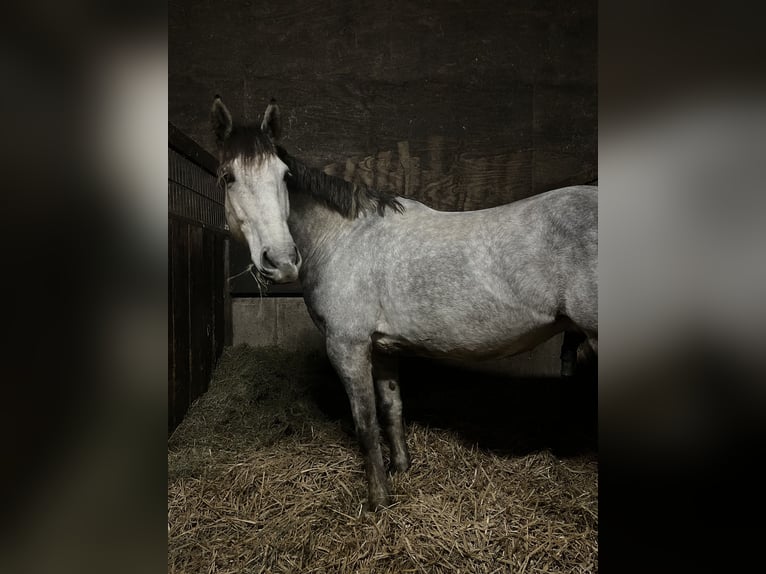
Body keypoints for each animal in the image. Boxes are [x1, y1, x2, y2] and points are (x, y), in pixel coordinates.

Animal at [210, 96, 598, 510]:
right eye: (228, 177)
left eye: (283, 176)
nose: (282, 261)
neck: (342, 237)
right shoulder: (381, 347)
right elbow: (391, 409)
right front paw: (401, 468)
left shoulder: (347, 346)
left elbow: (365, 422)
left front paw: (379, 499)